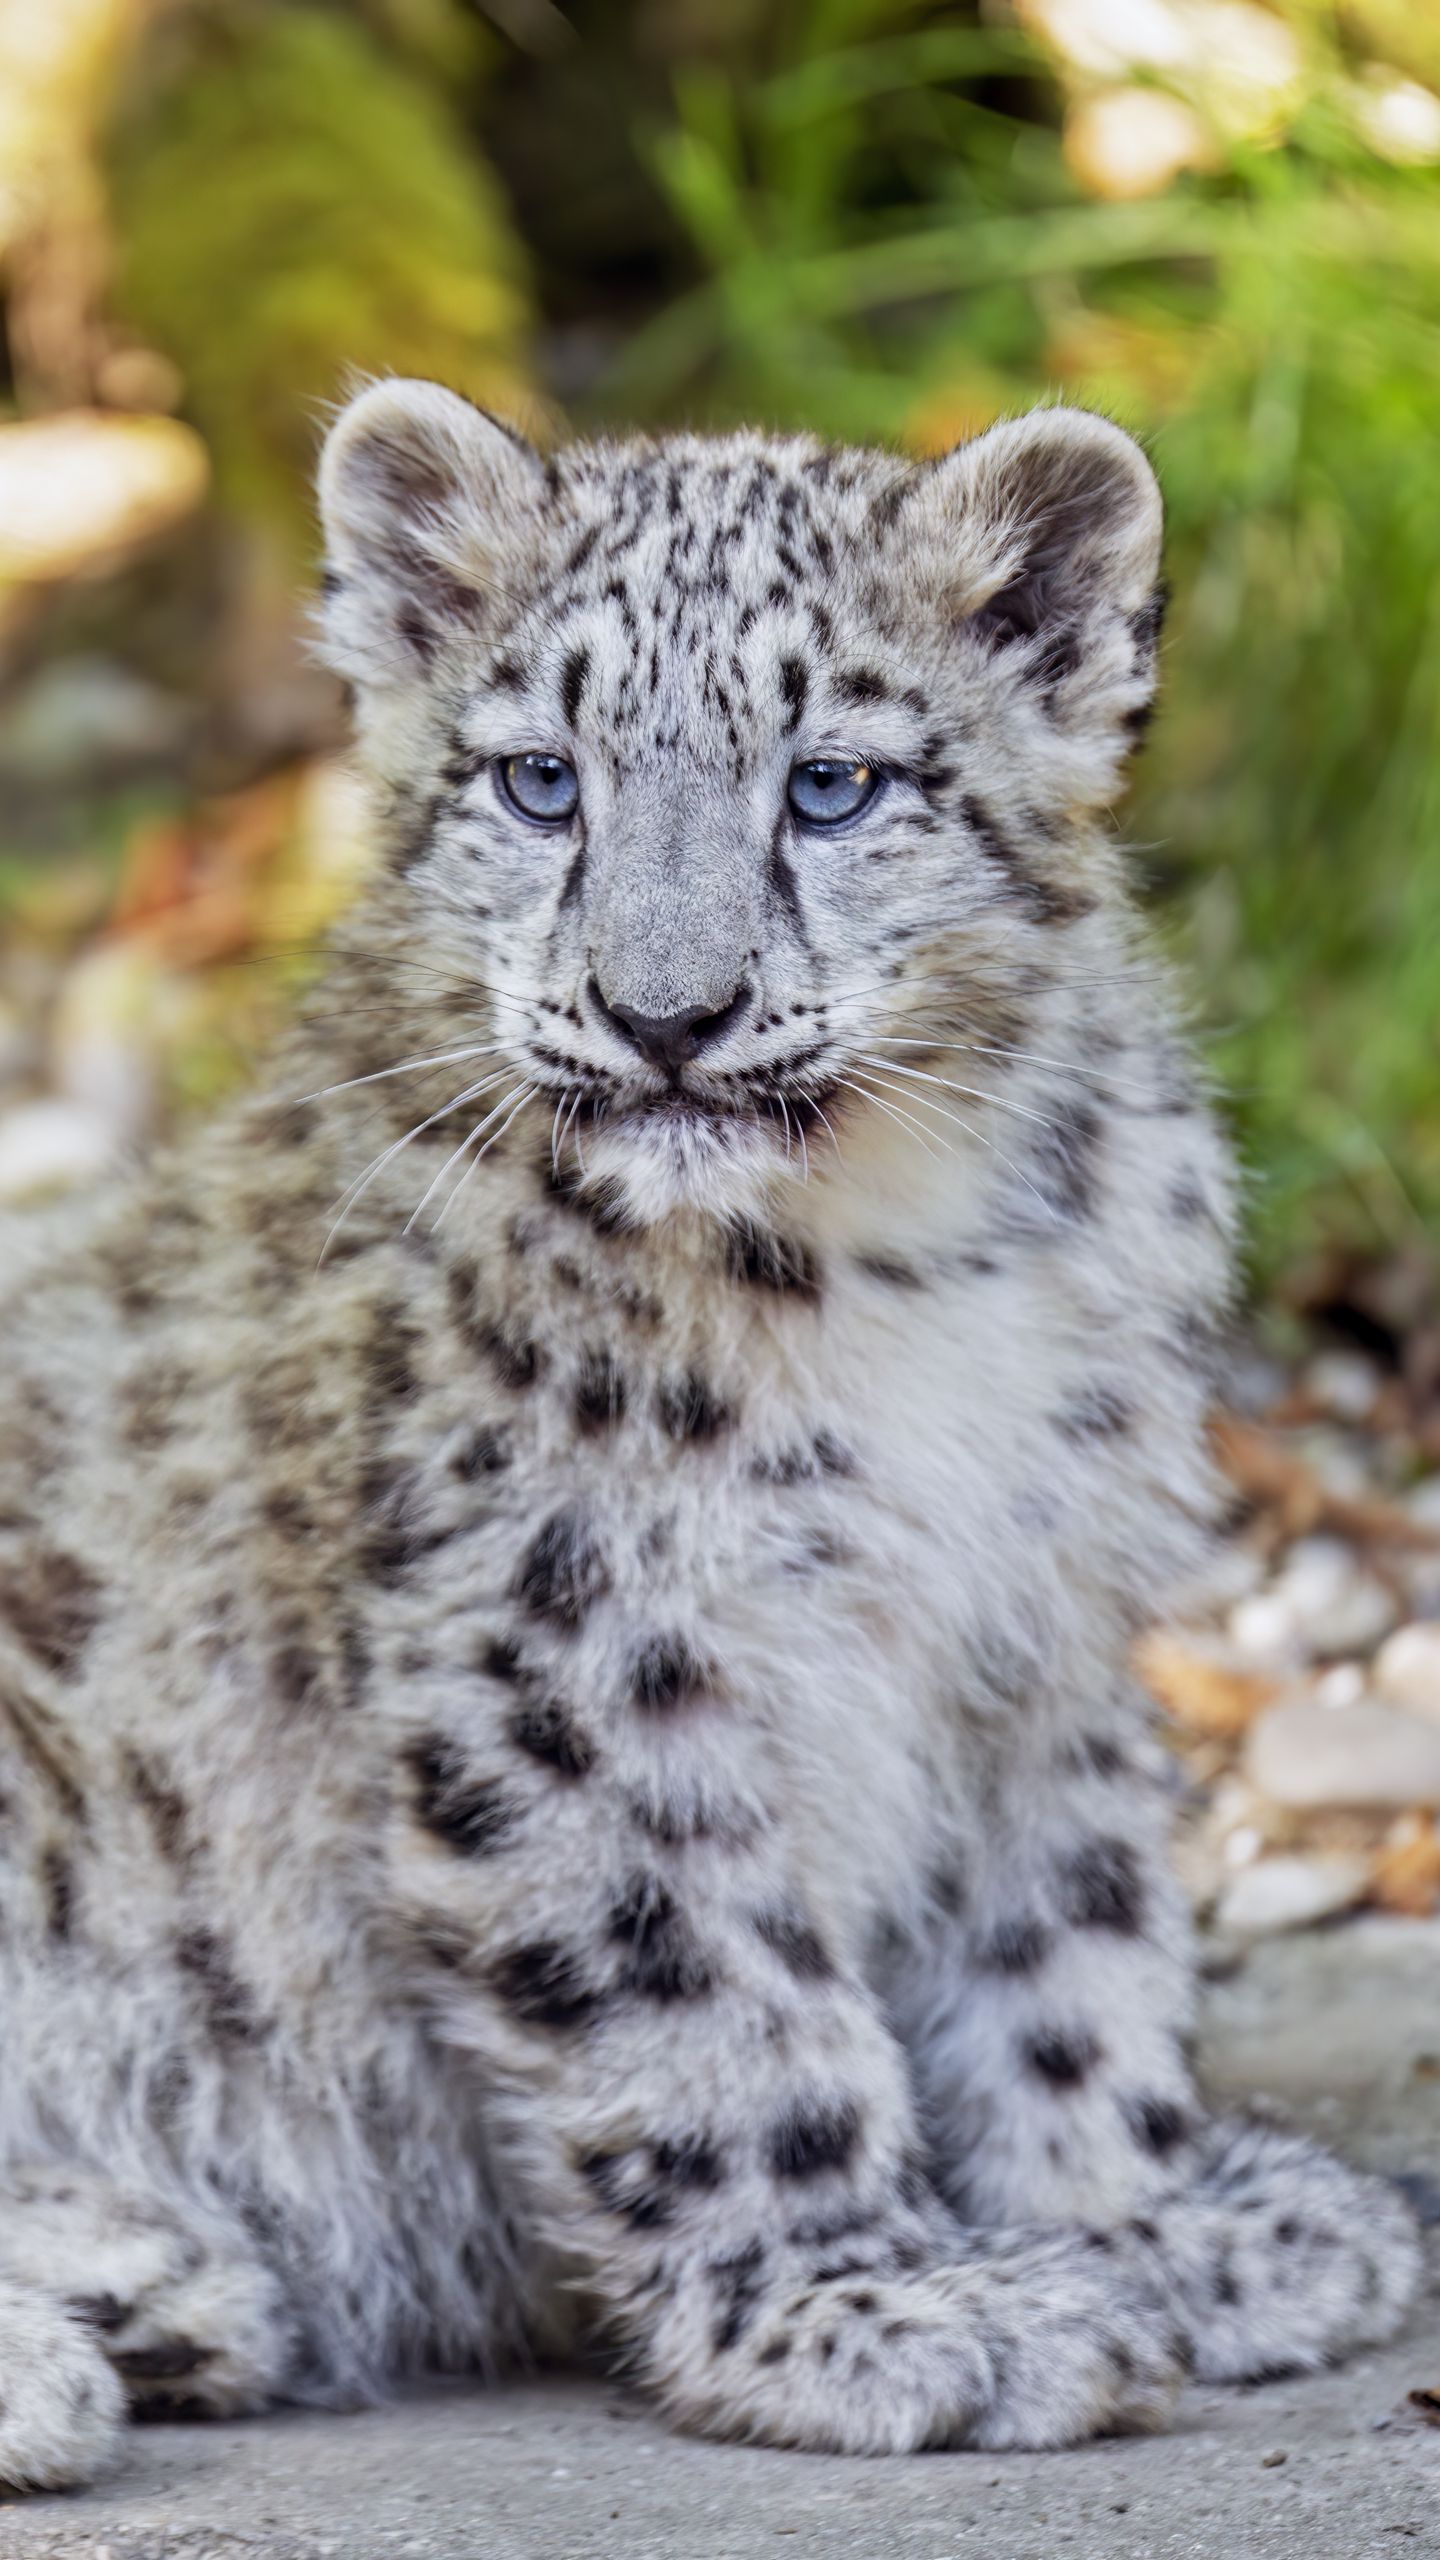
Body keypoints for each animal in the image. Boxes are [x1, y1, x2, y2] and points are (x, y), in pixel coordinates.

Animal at [0, 379, 1420, 2490]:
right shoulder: (570, 1638)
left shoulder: (1043, 1608)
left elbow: (1069, 1938)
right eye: (539, 782)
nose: (665, 1014)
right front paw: (879, 2309)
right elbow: (713, 1997)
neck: (895, 1249)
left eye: (830, 785)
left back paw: (153, 2282)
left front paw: (1151, 2224)